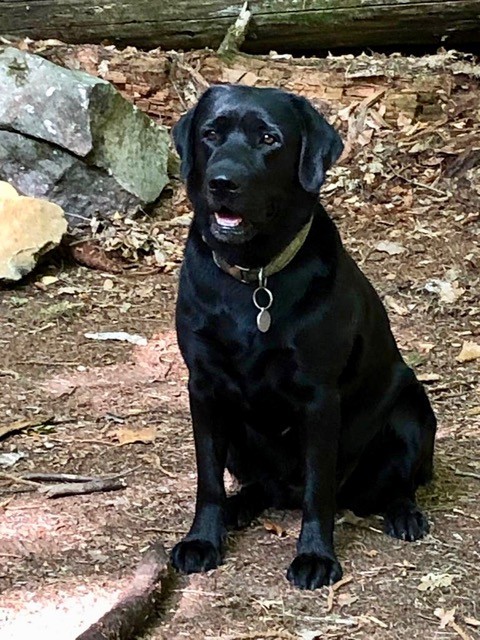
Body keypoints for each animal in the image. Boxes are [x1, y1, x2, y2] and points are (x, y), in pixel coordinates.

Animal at [171, 85, 436, 592]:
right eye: (211, 134)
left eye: (269, 139)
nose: (222, 182)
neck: (254, 277)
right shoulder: (204, 388)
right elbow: (207, 480)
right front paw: (201, 539)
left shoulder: (319, 397)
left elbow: (319, 489)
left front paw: (314, 556)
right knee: (259, 486)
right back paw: (239, 507)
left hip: (413, 410)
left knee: (397, 484)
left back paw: (405, 514)